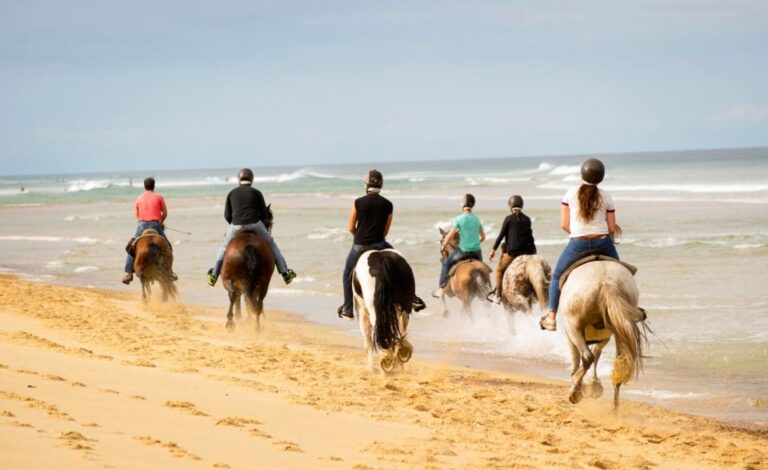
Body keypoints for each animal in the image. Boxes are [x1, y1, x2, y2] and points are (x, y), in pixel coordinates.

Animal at [560, 258, 648, 410]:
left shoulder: (571, 336)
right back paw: (614, 408)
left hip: (573, 326)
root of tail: (608, 283)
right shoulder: (604, 338)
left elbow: (579, 360)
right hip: (620, 330)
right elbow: (596, 354)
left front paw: (581, 386)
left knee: (587, 357)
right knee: (620, 364)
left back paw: (574, 391)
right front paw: (594, 385)